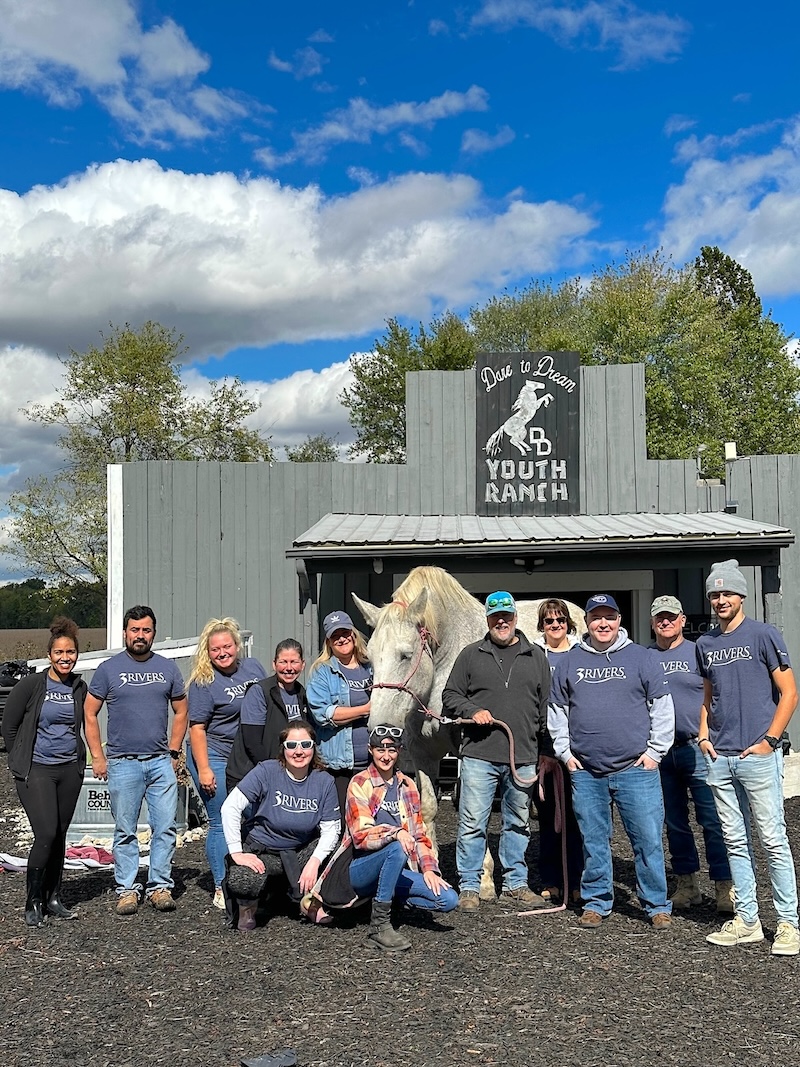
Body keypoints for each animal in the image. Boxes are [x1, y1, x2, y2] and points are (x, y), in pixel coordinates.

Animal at [354, 567, 584, 900]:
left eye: (405, 655)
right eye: (369, 658)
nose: (379, 728)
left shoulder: (469, 756)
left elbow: (474, 811)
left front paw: (485, 880)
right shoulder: (422, 752)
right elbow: (429, 807)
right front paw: (430, 869)